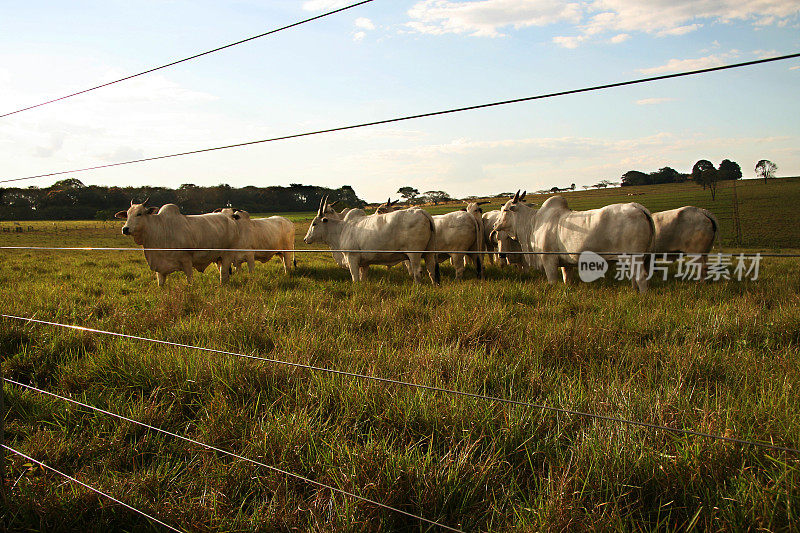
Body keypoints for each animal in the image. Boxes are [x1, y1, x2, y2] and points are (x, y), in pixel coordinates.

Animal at [302, 195, 438, 282]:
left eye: (314, 223)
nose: (305, 239)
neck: (341, 230)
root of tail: (421, 211)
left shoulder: (352, 259)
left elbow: (355, 280)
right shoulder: (364, 264)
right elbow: (363, 280)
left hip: (414, 254)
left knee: (417, 272)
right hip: (429, 252)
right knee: (431, 270)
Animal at [494, 191, 656, 290]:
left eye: (505, 210)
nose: (495, 225)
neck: (532, 223)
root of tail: (636, 206)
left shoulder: (548, 260)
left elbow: (552, 281)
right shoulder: (565, 263)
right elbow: (567, 279)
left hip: (635, 257)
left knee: (641, 278)